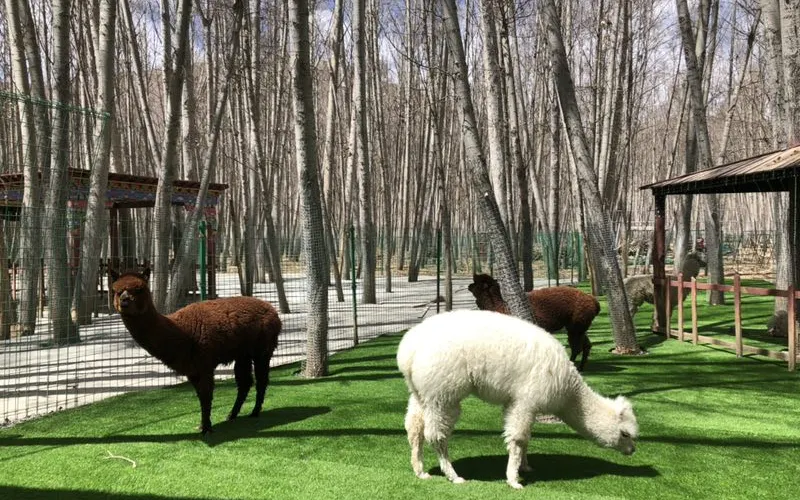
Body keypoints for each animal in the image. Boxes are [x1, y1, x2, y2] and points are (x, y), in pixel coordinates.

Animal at [109, 268, 282, 435]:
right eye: (116, 291)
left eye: (140, 289)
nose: (124, 301)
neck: (182, 332)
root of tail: (272, 309)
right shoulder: (191, 369)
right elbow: (200, 395)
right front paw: (203, 425)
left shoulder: (204, 362)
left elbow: (206, 394)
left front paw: (206, 428)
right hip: (242, 353)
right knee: (245, 383)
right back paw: (232, 414)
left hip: (263, 349)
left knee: (261, 380)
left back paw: (254, 412)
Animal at [397, 310, 638, 489]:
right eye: (625, 434)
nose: (633, 451)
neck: (569, 392)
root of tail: (408, 351)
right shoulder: (525, 401)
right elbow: (519, 438)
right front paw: (514, 480)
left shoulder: (518, 403)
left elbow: (526, 437)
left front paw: (525, 467)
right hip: (443, 393)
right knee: (436, 435)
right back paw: (453, 475)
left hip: (421, 392)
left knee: (414, 427)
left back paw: (420, 471)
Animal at [467, 273, 600, 371]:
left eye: (476, 282)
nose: (468, 285)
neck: (502, 307)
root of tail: (593, 301)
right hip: (579, 325)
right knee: (586, 345)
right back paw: (581, 367)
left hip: (576, 324)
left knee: (577, 347)